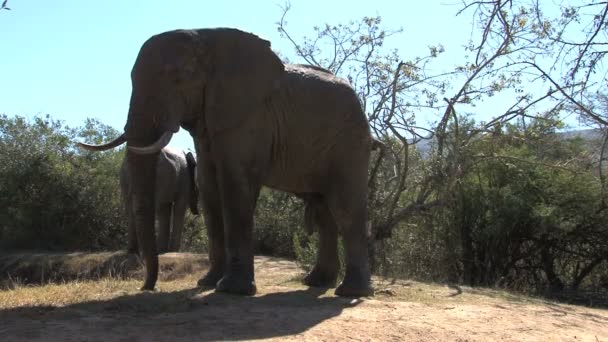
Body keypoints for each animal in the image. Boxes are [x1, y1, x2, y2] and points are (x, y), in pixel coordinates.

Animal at [77, 28, 376, 298]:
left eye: (178, 78)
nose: (148, 287)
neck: (206, 37)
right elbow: (209, 188)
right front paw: (207, 283)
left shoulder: (248, 116)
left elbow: (235, 184)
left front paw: (232, 290)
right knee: (324, 210)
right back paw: (316, 283)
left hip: (350, 141)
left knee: (346, 207)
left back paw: (350, 292)